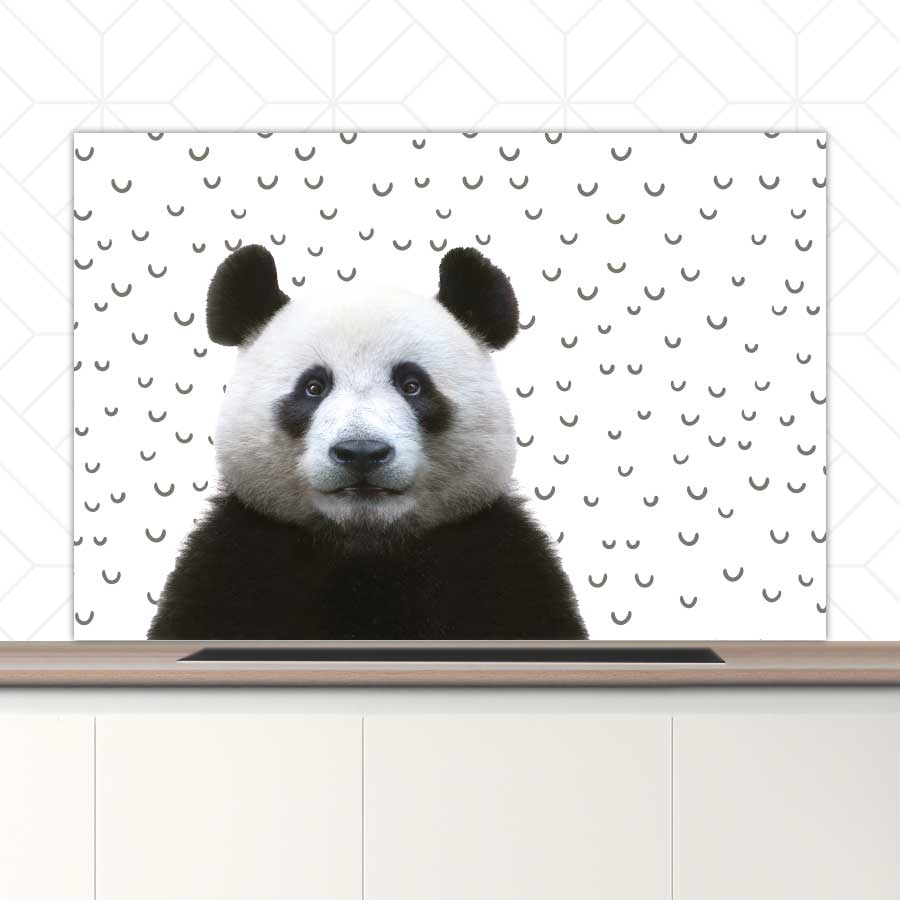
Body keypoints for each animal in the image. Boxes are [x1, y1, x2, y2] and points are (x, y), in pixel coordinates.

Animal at [148, 244, 587, 640]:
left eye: (412, 385)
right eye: (313, 387)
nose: (361, 453)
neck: (366, 546)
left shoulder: (497, 562)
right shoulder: (235, 560)